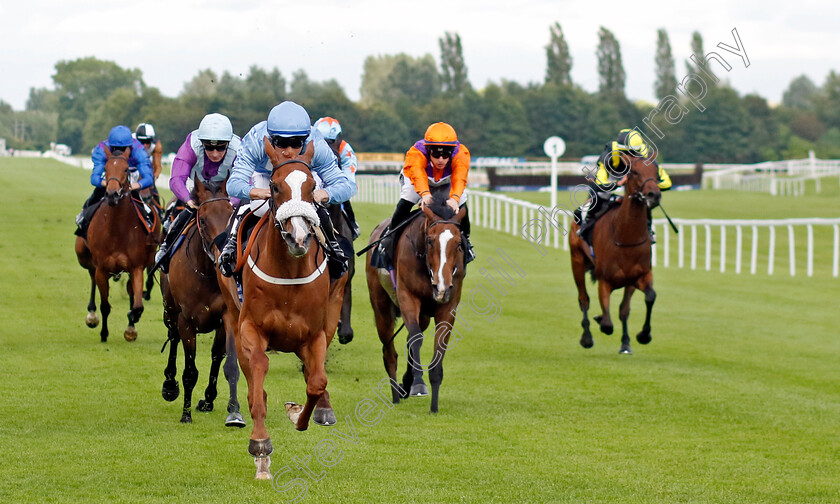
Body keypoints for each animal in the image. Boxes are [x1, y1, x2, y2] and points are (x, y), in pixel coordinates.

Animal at [76, 147, 162, 342]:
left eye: (126, 169)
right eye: (106, 169)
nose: (112, 194)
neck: (117, 230)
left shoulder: (136, 266)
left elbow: (137, 305)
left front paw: (131, 325)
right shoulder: (101, 268)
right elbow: (105, 305)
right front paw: (103, 334)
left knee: (130, 291)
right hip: (84, 256)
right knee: (92, 277)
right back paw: (92, 316)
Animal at [159, 175, 243, 428]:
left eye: (230, 216)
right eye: (203, 220)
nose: (223, 256)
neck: (205, 271)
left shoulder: (226, 317)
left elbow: (226, 363)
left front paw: (225, 407)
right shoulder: (186, 320)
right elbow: (189, 371)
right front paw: (185, 413)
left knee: (216, 356)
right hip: (170, 311)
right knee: (173, 338)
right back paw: (169, 385)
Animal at [236, 139, 348, 480]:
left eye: (312, 187)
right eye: (274, 186)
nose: (299, 237)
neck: (288, 273)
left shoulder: (313, 334)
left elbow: (317, 381)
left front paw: (300, 416)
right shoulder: (250, 328)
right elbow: (258, 377)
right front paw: (260, 445)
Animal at [362, 197, 466, 414]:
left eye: (459, 243)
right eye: (430, 241)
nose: (441, 286)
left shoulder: (448, 306)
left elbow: (436, 348)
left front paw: (433, 404)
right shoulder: (407, 297)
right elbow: (415, 339)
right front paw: (418, 384)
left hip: (424, 315)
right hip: (381, 307)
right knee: (390, 351)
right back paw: (395, 394)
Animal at [572, 154, 664, 354]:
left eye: (656, 171)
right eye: (635, 171)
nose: (654, 195)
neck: (625, 236)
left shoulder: (639, 276)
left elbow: (646, 299)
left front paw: (641, 336)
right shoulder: (604, 280)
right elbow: (607, 324)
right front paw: (599, 320)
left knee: (622, 309)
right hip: (577, 261)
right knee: (583, 299)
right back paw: (586, 337)